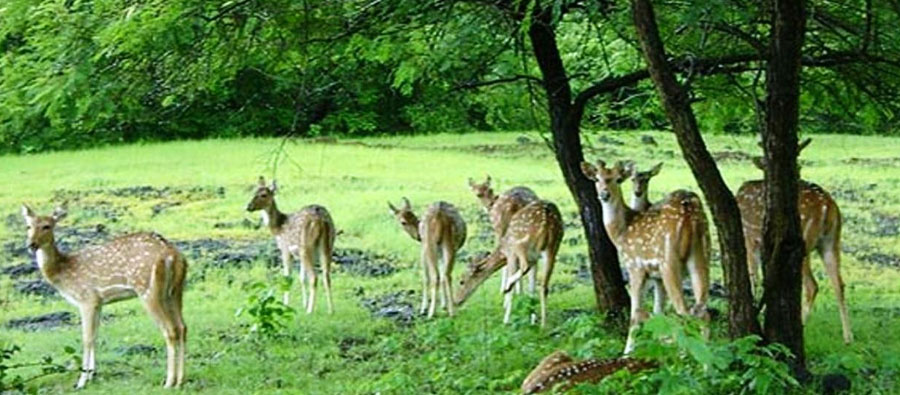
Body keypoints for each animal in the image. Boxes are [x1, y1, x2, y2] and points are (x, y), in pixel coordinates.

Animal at [21, 207, 187, 390]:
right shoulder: (99, 302)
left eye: (47, 226)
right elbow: (95, 336)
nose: (31, 245)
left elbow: (86, 338)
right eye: (28, 226)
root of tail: (171, 255)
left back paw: (169, 381)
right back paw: (180, 380)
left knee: (169, 330)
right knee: (182, 327)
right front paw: (91, 375)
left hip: (147, 290)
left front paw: (81, 382)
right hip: (175, 290)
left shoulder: (87, 298)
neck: (63, 274)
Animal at [244, 178, 336, 314]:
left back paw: (310, 311)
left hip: (305, 246)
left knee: (314, 277)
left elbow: (287, 277)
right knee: (326, 275)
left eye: (263, 195)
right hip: (328, 244)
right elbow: (302, 278)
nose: (248, 206)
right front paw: (303, 304)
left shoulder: (285, 249)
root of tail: (321, 220)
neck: (278, 228)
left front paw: (286, 305)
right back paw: (331, 310)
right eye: (253, 191)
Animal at [584, 161, 712, 356]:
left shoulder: (635, 266)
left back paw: (683, 354)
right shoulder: (656, 277)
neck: (620, 233)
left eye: (618, 179)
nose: (604, 194)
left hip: (668, 260)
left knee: (684, 311)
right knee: (702, 311)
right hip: (702, 253)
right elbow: (658, 313)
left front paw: (627, 352)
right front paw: (657, 346)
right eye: (596, 178)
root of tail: (689, 206)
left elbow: (636, 313)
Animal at [736, 138, 856, 344]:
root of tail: (827, 206)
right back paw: (848, 337)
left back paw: (802, 326)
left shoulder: (749, 237)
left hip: (802, 242)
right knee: (839, 284)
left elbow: (753, 276)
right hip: (832, 241)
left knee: (812, 286)